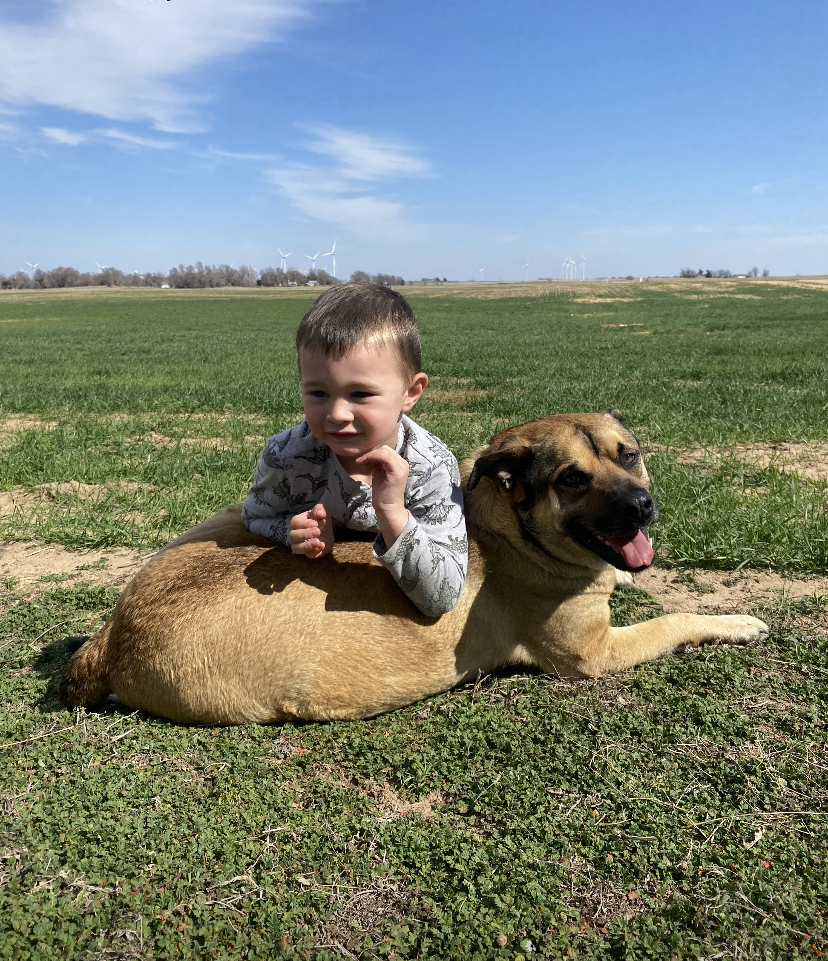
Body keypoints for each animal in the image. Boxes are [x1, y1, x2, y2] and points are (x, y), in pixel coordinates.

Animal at [60, 411, 769, 724]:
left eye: (631, 454)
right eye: (571, 478)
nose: (642, 506)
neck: (509, 528)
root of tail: (112, 639)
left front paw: (622, 575)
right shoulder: (592, 655)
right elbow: (675, 619)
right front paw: (737, 622)